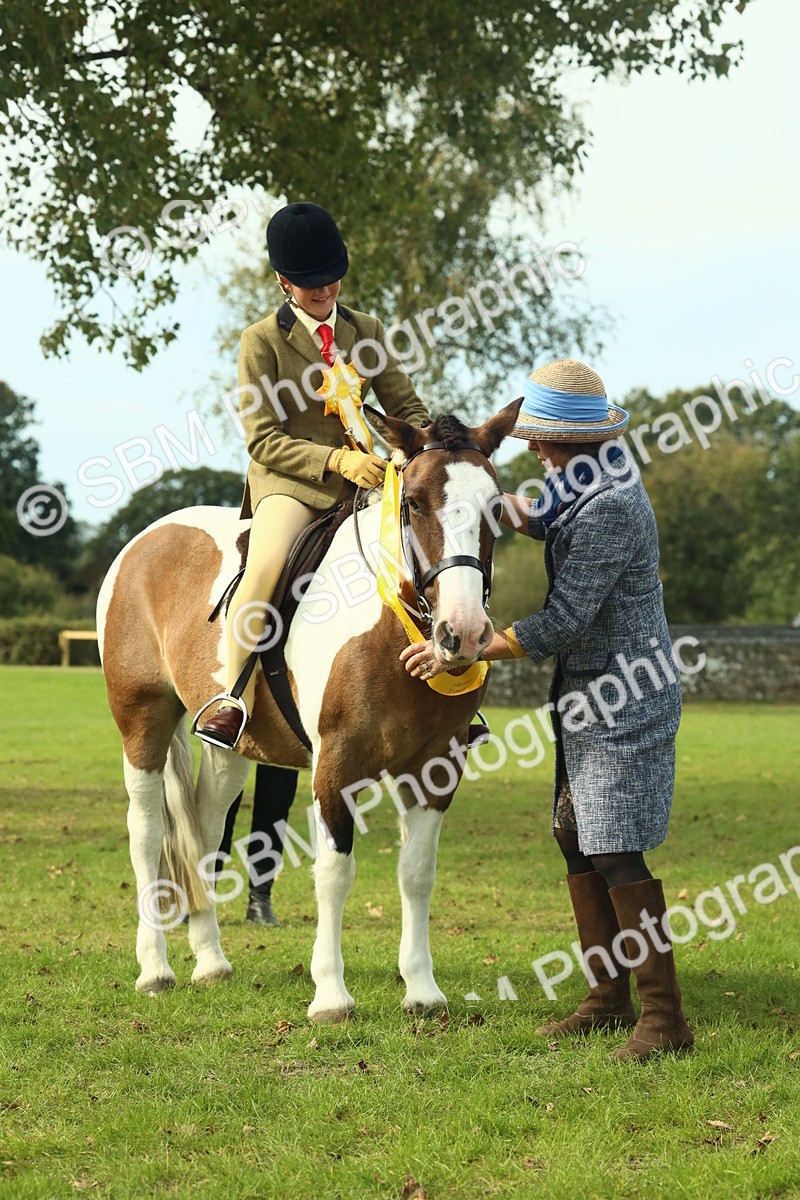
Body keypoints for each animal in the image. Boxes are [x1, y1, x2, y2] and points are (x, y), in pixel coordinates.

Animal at [96, 400, 522, 1021]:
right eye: (414, 502)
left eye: (495, 505)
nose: (462, 634)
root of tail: (146, 539)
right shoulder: (335, 767)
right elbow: (335, 872)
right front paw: (331, 996)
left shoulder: (436, 769)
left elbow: (417, 874)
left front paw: (422, 990)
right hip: (142, 723)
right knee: (148, 833)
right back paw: (155, 969)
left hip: (232, 749)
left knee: (204, 828)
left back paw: (210, 960)